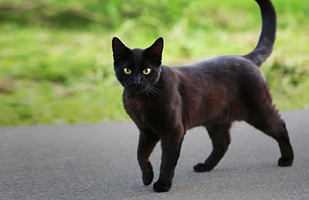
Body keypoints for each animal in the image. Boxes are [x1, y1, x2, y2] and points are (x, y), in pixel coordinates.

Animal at [110, 0, 292, 194]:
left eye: (146, 70)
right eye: (127, 70)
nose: (136, 82)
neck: (141, 100)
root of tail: (247, 58)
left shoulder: (173, 131)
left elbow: (167, 161)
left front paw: (163, 184)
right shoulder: (147, 132)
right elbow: (140, 155)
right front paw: (147, 177)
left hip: (259, 109)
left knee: (280, 126)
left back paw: (287, 159)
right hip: (216, 120)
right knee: (223, 143)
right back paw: (205, 166)